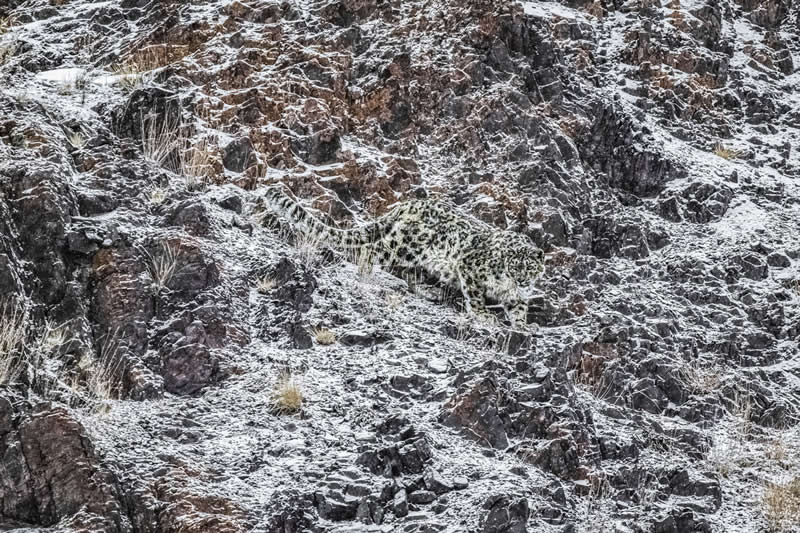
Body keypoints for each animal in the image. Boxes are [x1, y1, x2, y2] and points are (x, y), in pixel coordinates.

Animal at [263, 185, 545, 329]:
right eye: (514, 266)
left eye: (529, 269)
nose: (520, 281)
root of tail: (408, 204)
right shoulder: (470, 268)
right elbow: (474, 297)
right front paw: (484, 315)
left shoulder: (516, 296)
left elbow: (519, 310)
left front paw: (523, 327)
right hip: (406, 245)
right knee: (374, 250)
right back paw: (366, 273)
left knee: (409, 272)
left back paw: (428, 291)